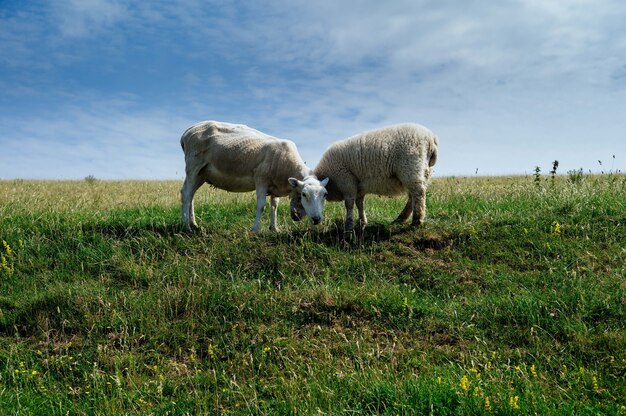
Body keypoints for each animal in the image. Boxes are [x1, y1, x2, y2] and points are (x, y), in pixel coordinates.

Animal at [179, 120, 330, 232]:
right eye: (304, 194)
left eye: (325, 195)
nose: (317, 219)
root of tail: (187, 131)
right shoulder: (261, 180)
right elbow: (261, 206)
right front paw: (255, 230)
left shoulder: (275, 185)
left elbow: (274, 206)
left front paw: (274, 228)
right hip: (193, 165)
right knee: (186, 193)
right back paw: (186, 226)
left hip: (201, 173)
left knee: (191, 195)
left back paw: (193, 223)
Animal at [304, 123, 436, 232]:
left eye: (323, 195)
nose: (315, 220)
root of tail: (431, 138)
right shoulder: (358, 186)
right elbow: (360, 203)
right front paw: (362, 222)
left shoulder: (347, 181)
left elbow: (349, 204)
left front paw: (349, 226)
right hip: (422, 172)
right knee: (412, 196)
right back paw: (401, 219)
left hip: (410, 168)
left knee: (418, 194)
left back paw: (417, 220)